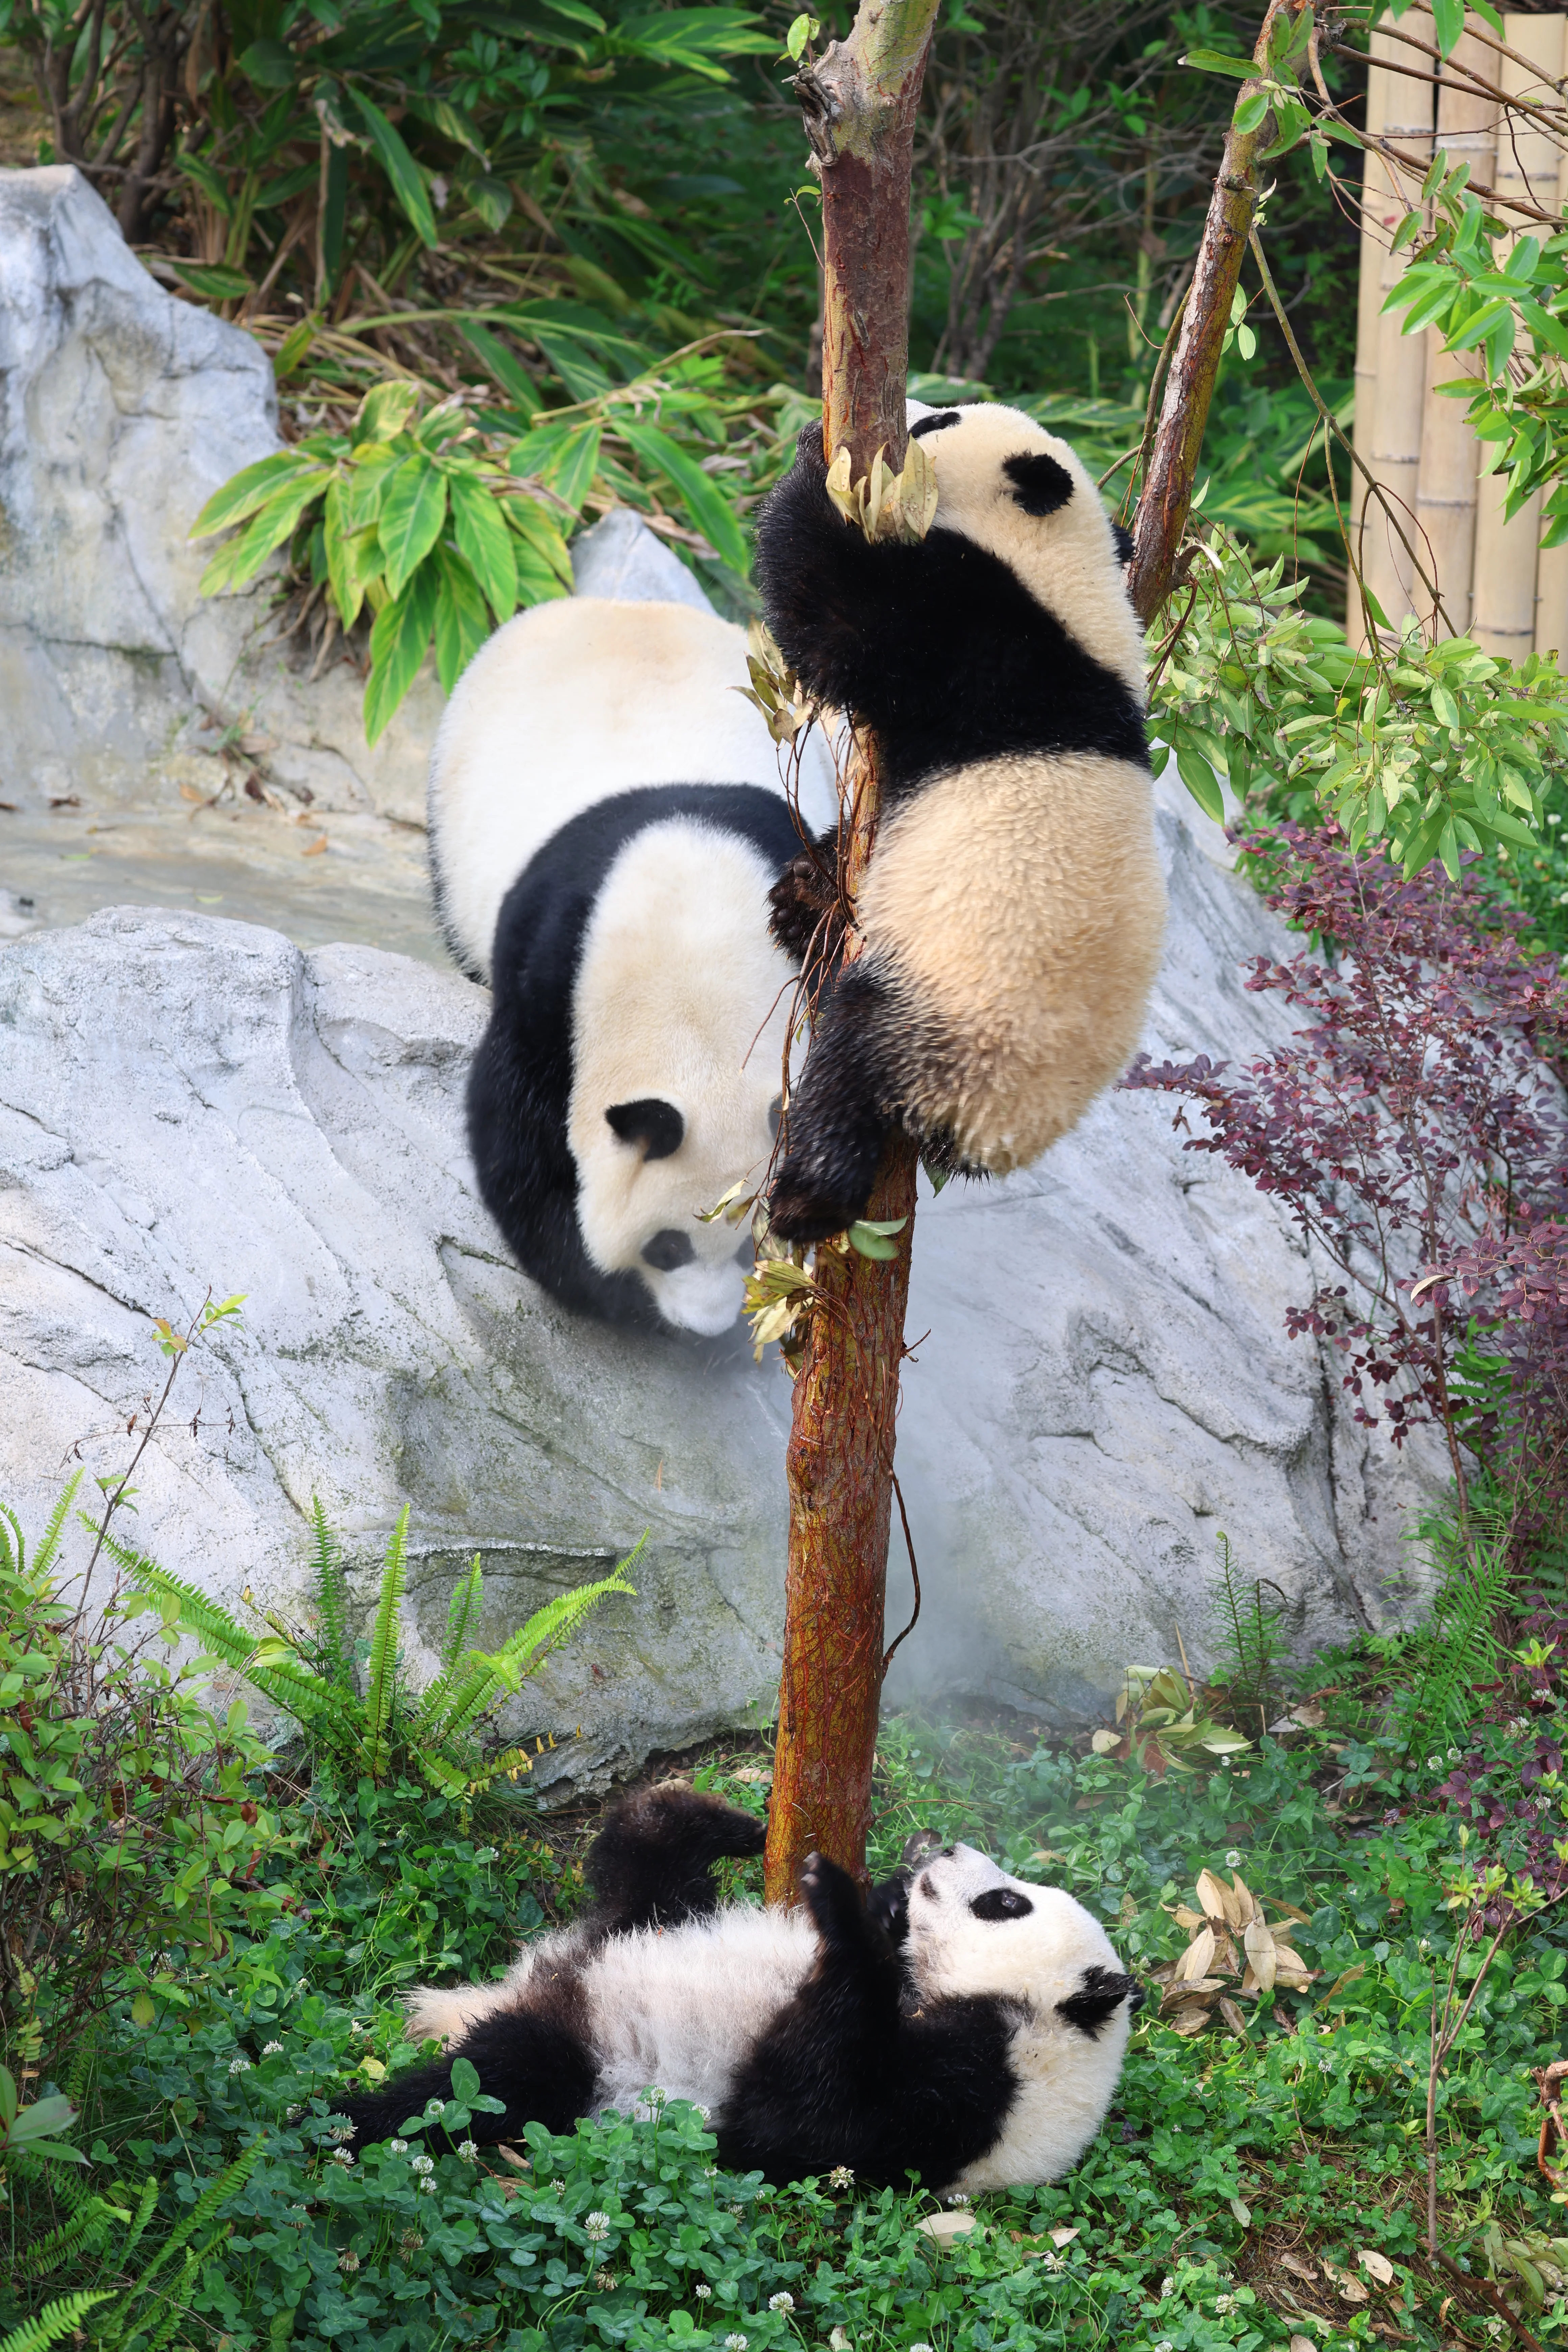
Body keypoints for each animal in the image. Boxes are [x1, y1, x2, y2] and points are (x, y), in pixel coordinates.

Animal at [337, 1783, 1141, 2193]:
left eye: (1006, 1903)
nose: (942, 1847)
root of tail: (532, 1983)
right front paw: (881, 1898)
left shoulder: (960, 2106)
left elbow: (803, 2112)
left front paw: (842, 1910)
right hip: (642, 1924)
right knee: (647, 1871)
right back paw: (716, 1820)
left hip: (580, 2061)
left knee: (488, 2083)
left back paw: (342, 2118)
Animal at [431, 594, 837, 1333]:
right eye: (667, 1247)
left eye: (750, 1247)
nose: (709, 1325)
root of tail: (624, 602)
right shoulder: (551, 967)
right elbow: (518, 1135)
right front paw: (609, 1290)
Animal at [753, 401, 1166, 1244]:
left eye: (943, 420)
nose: (917, 413)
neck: (1068, 574)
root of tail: (994, 1132)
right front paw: (807, 881)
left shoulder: (987, 640)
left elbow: (841, 618)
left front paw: (813, 461)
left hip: (951, 1007)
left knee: (852, 1059)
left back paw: (806, 1200)